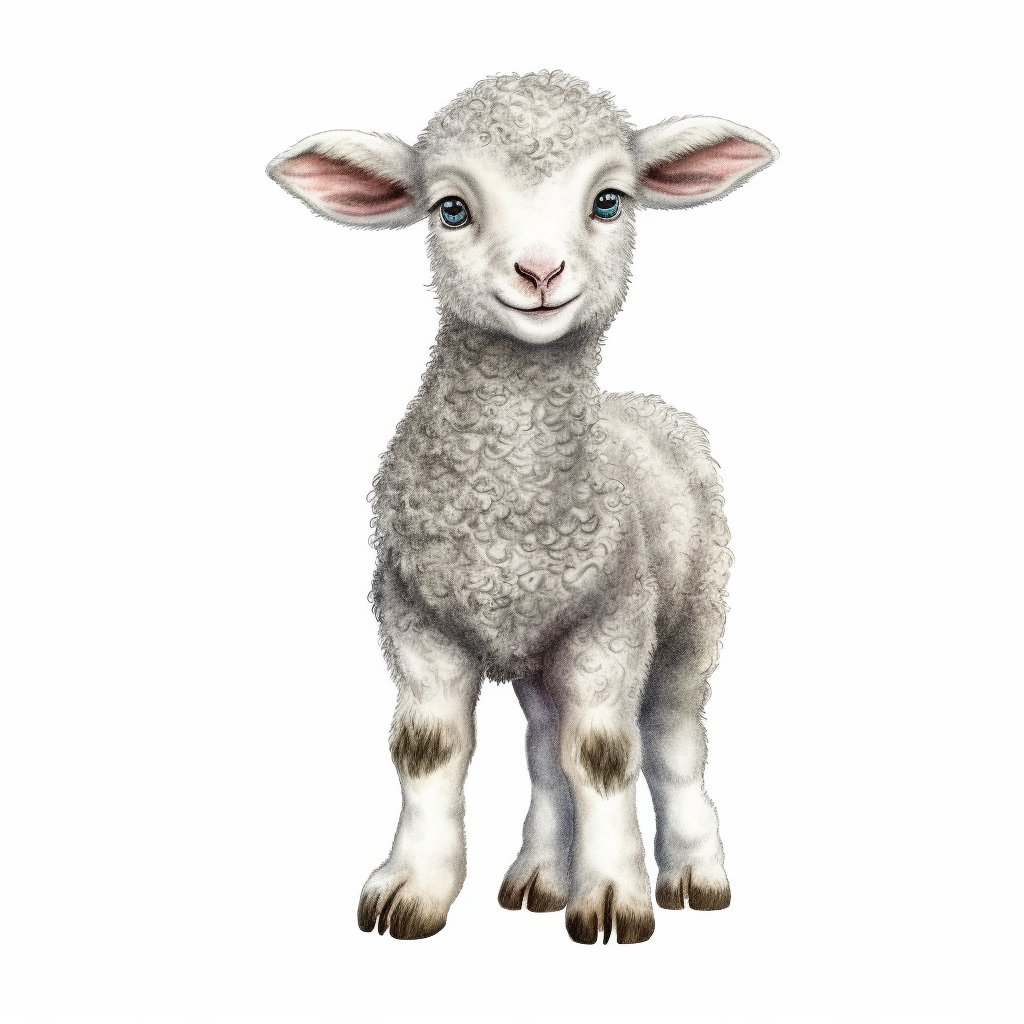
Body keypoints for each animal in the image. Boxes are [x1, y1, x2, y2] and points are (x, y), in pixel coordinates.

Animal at [267, 71, 778, 944]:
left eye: (609, 201)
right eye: (450, 209)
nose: (540, 272)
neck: (506, 505)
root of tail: (644, 403)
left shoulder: (613, 616)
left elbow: (604, 754)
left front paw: (612, 899)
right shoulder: (414, 616)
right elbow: (430, 749)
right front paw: (411, 889)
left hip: (693, 613)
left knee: (673, 736)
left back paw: (695, 873)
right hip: (539, 653)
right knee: (544, 744)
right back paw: (540, 875)